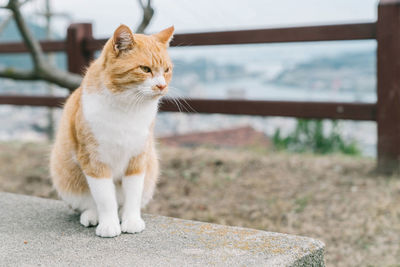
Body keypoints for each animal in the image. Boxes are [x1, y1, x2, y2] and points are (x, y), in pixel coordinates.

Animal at [49, 24, 173, 239]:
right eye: (145, 69)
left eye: (166, 70)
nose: (161, 86)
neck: (128, 108)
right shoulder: (93, 159)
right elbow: (105, 198)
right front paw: (108, 224)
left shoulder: (138, 157)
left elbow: (133, 194)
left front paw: (131, 220)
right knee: (89, 202)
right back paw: (92, 215)